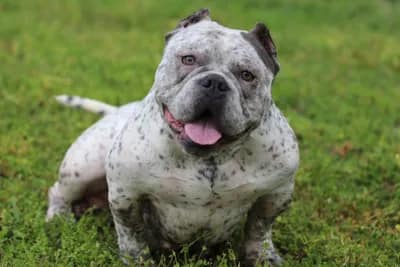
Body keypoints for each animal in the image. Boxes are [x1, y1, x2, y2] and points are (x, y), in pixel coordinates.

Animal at [47, 8, 298, 267]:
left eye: (247, 75)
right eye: (188, 59)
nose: (215, 82)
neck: (210, 158)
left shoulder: (275, 194)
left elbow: (259, 230)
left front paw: (263, 257)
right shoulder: (126, 195)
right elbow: (132, 236)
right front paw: (137, 261)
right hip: (81, 168)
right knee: (59, 191)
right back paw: (59, 218)